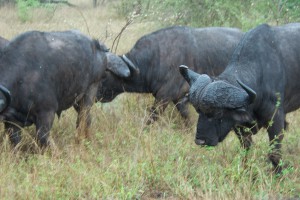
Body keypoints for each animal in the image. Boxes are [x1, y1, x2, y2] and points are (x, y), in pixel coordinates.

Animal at [0, 30, 129, 147]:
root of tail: (97, 46)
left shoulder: (46, 114)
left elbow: (43, 139)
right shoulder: (12, 123)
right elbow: (15, 143)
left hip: (90, 91)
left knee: (83, 119)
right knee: (86, 119)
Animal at [97, 25, 243, 124]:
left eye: (104, 75)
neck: (155, 59)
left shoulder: (163, 97)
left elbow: (151, 119)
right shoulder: (178, 99)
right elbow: (187, 120)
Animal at [179, 23, 300, 173]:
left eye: (218, 113)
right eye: (197, 110)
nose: (200, 141)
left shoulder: (275, 120)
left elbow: (274, 154)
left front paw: (279, 174)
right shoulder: (238, 126)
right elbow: (245, 151)